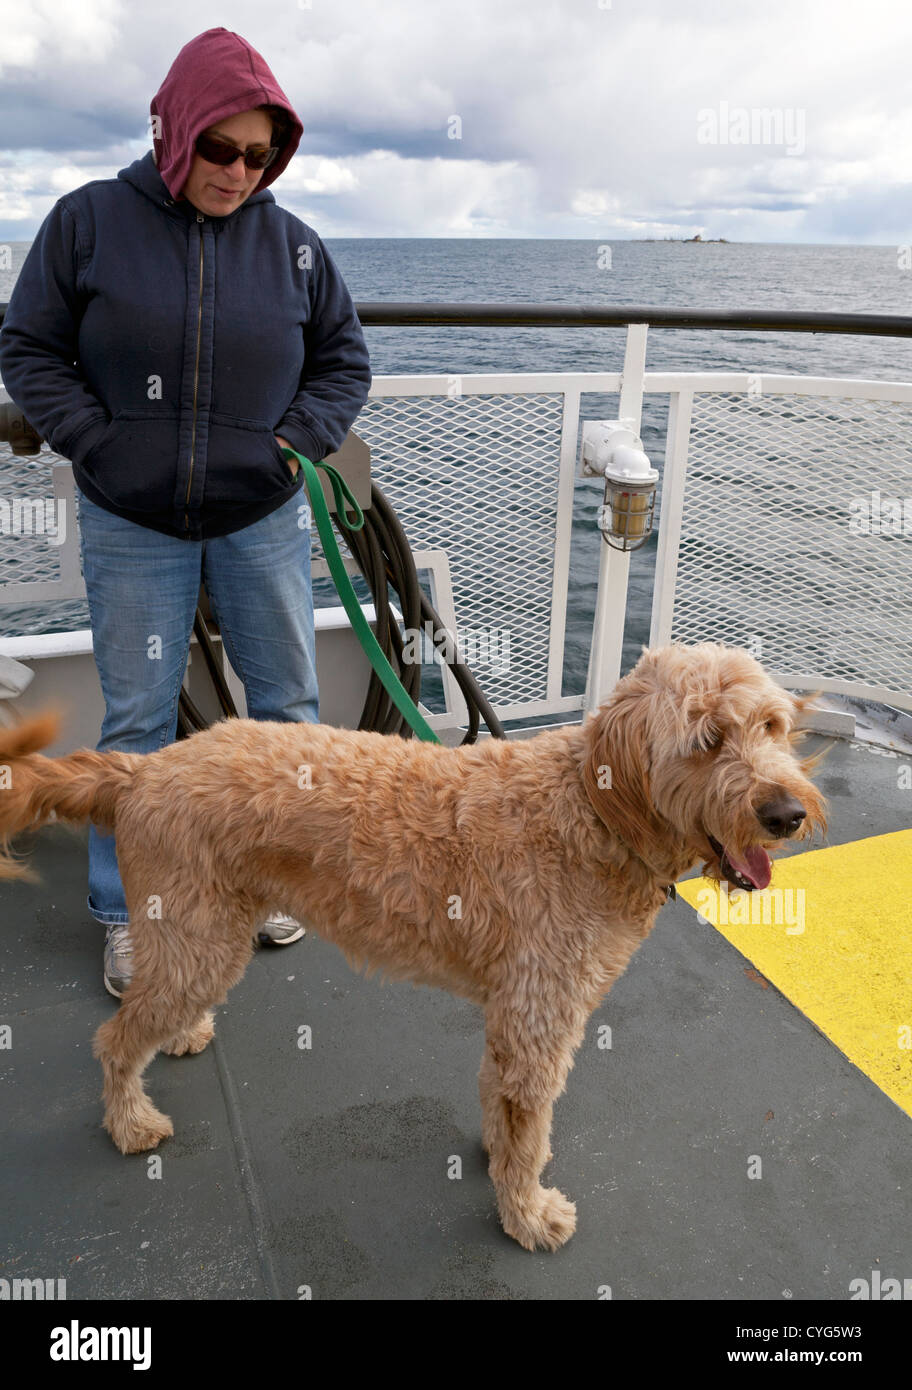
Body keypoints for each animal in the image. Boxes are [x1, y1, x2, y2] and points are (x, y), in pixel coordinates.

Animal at [0, 644, 828, 1256]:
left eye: (773, 726)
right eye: (707, 741)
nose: (787, 813)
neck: (591, 812)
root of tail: (143, 769)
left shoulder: (515, 1012)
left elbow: (502, 1104)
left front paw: (498, 1164)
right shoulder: (540, 1016)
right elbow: (529, 1123)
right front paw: (528, 1215)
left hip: (197, 936)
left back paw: (180, 1036)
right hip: (198, 940)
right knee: (113, 1039)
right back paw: (130, 1122)